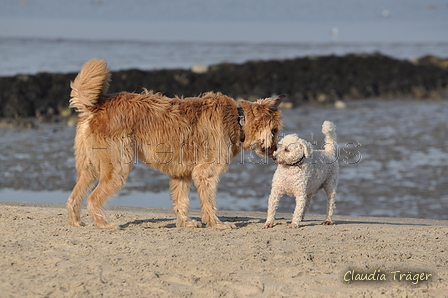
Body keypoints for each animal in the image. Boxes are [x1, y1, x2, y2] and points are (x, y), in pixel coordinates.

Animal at [66, 58, 284, 230]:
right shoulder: (206, 173)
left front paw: (185, 222)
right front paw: (216, 223)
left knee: (74, 196)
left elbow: (181, 201)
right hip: (117, 168)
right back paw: (103, 224)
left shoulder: (182, 174)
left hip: (89, 167)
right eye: (274, 131)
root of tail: (96, 106)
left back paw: (76, 222)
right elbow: (209, 202)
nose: (275, 152)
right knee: (93, 199)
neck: (238, 121)